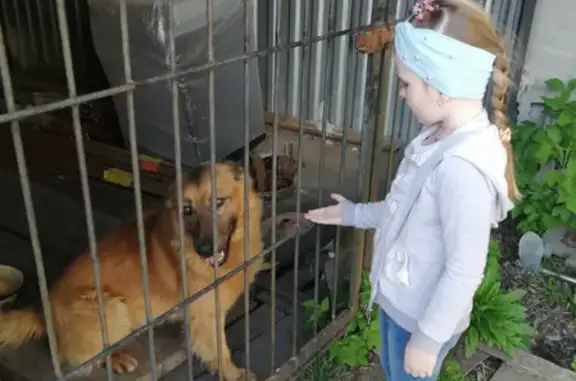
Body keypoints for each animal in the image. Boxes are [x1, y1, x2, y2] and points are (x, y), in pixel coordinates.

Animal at [0, 161, 264, 380]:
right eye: (187, 210)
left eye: (218, 202)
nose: (205, 249)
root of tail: (42, 308)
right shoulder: (206, 316)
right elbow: (220, 351)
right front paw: (234, 374)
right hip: (110, 306)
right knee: (88, 357)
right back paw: (117, 358)